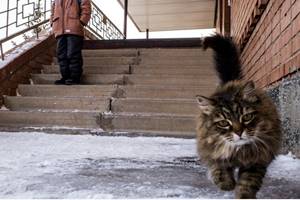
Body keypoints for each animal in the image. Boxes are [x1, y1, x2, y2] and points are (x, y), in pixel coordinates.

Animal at [196, 34, 282, 198]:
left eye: (246, 117)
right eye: (224, 123)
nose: (239, 132)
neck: (238, 152)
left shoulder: (257, 160)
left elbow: (248, 183)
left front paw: (243, 194)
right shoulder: (212, 151)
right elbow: (218, 169)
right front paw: (226, 184)